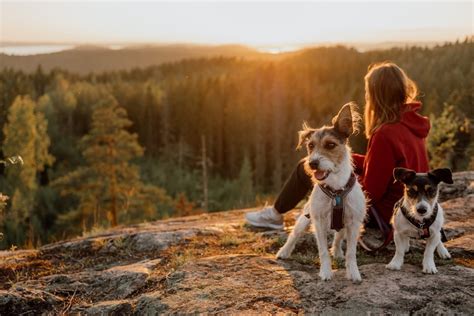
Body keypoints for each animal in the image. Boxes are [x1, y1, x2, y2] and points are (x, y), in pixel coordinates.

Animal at [278, 104, 366, 284]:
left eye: (330, 145)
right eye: (310, 146)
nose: (312, 163)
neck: (336, 188)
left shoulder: (354, 222)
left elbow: (351, 252)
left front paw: (353, 272)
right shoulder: (318, 221)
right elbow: (323, 251)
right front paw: (325, 272)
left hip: (343, 225)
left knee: (338, 237)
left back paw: (338, 252)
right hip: (305, 217)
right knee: (294, 234)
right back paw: (284, 251)